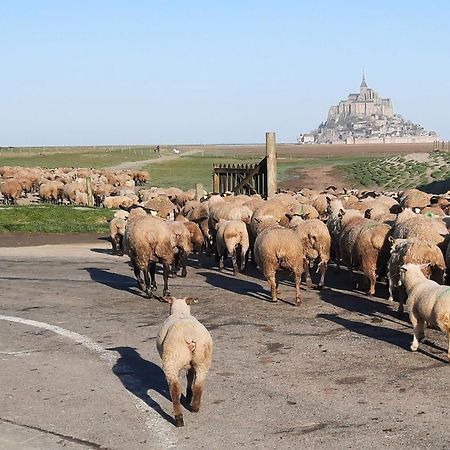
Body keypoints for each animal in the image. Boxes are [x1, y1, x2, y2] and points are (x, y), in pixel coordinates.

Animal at [156, 298, 214, 428]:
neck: (181, 312)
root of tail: (190, 336)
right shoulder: (191, 365)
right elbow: (190, 377)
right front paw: (188, 396)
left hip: (171, 361)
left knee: (175, 389)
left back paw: (179, 419)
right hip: (203, 360)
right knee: (198, 385)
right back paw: (195, 407)